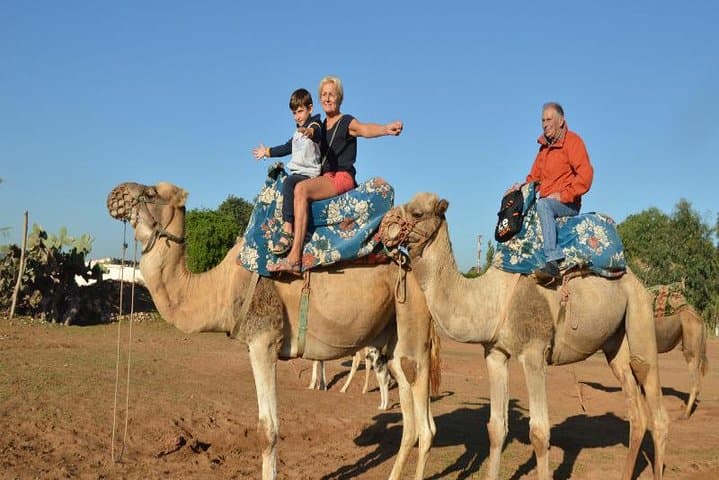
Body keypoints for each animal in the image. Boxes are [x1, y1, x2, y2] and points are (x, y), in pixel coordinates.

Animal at [106, 181, 440, 480]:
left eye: (151, 193)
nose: (115, 194)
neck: (221, 288)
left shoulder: (263, 341)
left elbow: (267, 430)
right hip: (393, 339)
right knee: (410, 418)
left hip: (413, 322)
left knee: (425, 426)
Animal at [379, 192, 669, 480]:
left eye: (417, 213)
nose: (384, 227)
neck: (491, 299)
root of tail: (635, 280)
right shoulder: (495, 353)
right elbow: (496, 428)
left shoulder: (534, 354)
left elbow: (539, 433)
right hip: (615, 342)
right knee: (635, 412)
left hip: (641, 312)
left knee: (655, 403)